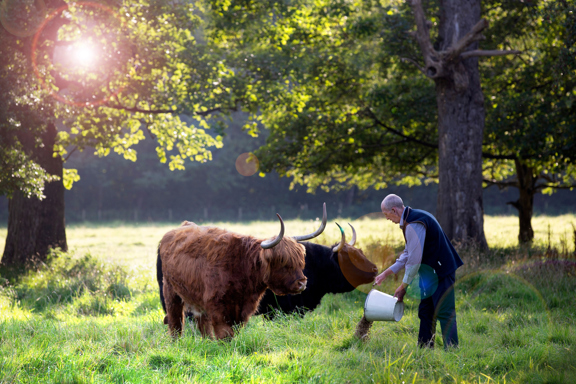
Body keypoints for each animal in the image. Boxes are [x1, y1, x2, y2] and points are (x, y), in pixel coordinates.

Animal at [160, 208, 326, 340]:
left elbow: (235, 330)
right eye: (283, 262)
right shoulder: (217, 305)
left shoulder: (244, 308)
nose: (302, 283)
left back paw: (207, 342)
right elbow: (225, 333)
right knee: (175, 320)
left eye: (300, 262)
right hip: (170, 290)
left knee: (201, 323)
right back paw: (176, 343)